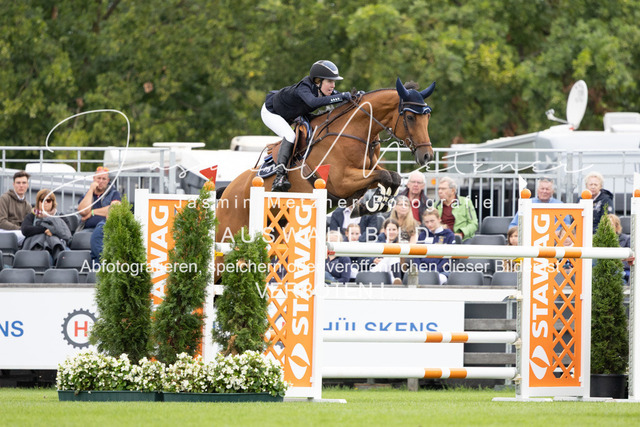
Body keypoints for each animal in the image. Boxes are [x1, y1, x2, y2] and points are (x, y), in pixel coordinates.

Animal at [215, 77, 436, 243]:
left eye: (428, 117)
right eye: (410, 118)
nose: (427, 155)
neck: (354, 131)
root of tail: (227, 190)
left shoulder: (368, 172)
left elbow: (392, 177)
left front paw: (371, 205)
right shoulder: (340, 181)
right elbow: (386, 176)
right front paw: (374, 204)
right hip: (230, 232)